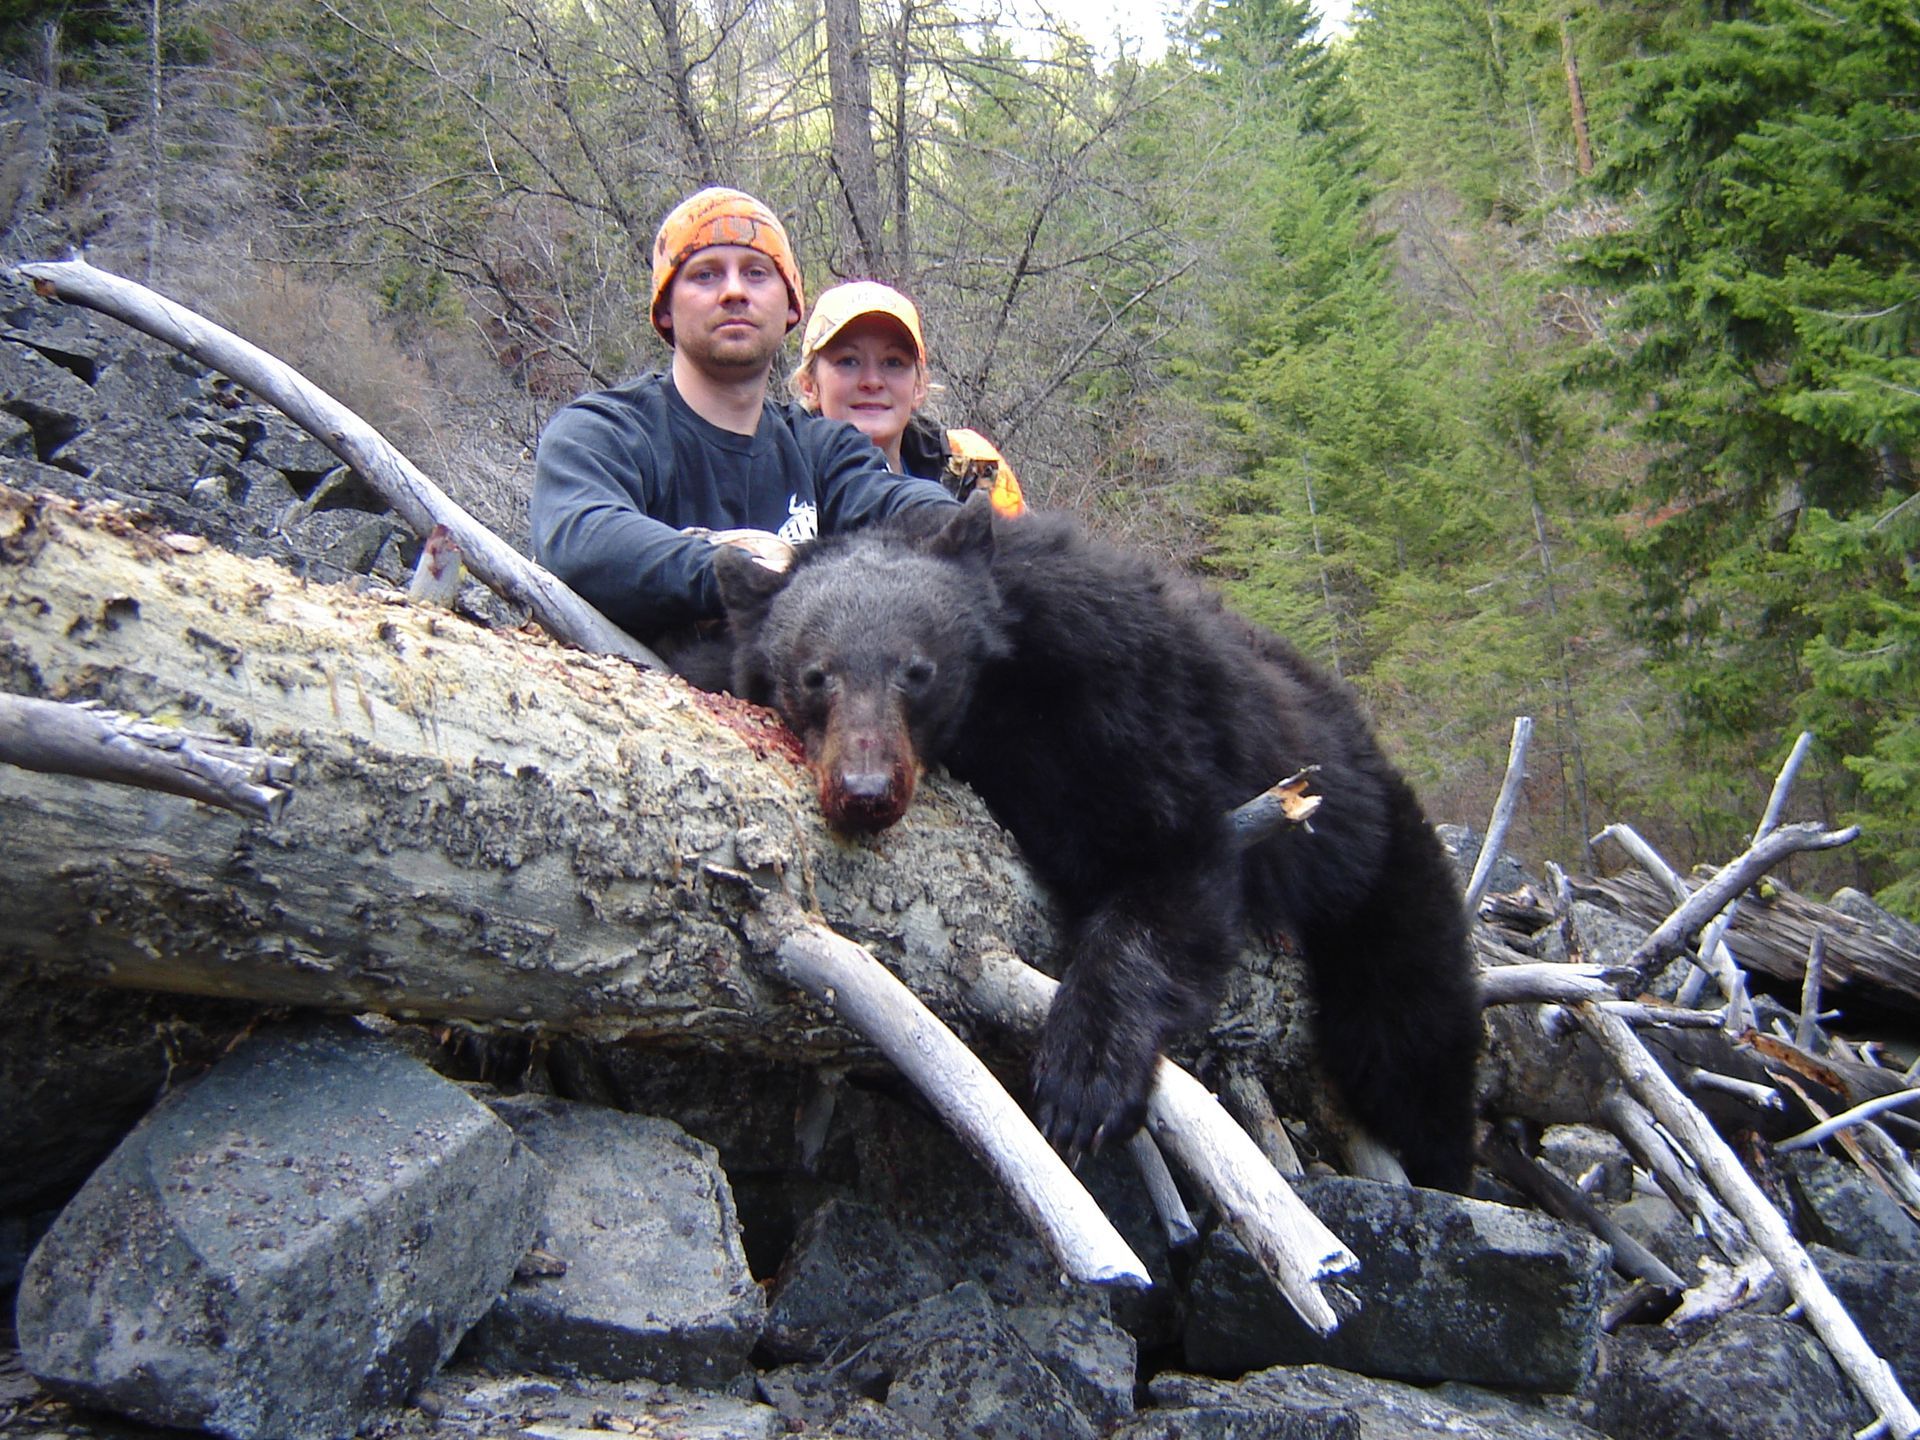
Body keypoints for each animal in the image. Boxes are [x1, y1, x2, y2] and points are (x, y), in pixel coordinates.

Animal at [711, 493, 1482, 1191]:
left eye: (917, 670)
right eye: (815, 676)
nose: (865, 790)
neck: (996, 709)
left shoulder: (1119, 701)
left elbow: (1163, 861)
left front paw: (1085, 1080)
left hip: (1374, 869)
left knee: (1409, 1033)